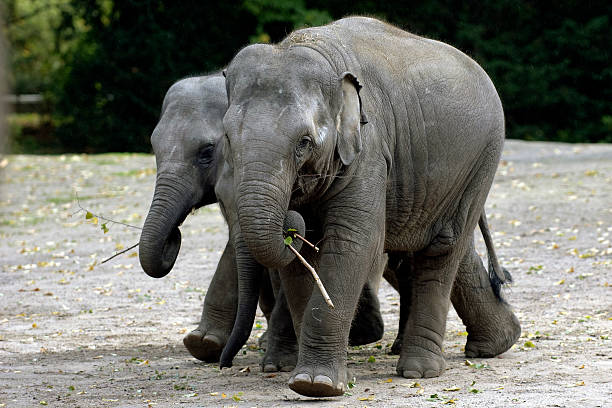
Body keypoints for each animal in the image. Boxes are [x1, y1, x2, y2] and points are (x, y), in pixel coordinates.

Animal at [220, 17, 520, 396]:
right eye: (227, 138)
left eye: (304, 143)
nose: (223, 363)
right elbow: (299, 263)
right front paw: (304, 378)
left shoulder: (371, 149)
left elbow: (354, 242)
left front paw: (317, 385)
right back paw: (496, 344)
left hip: (482, 160)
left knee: (443, 248)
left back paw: (420, 371)